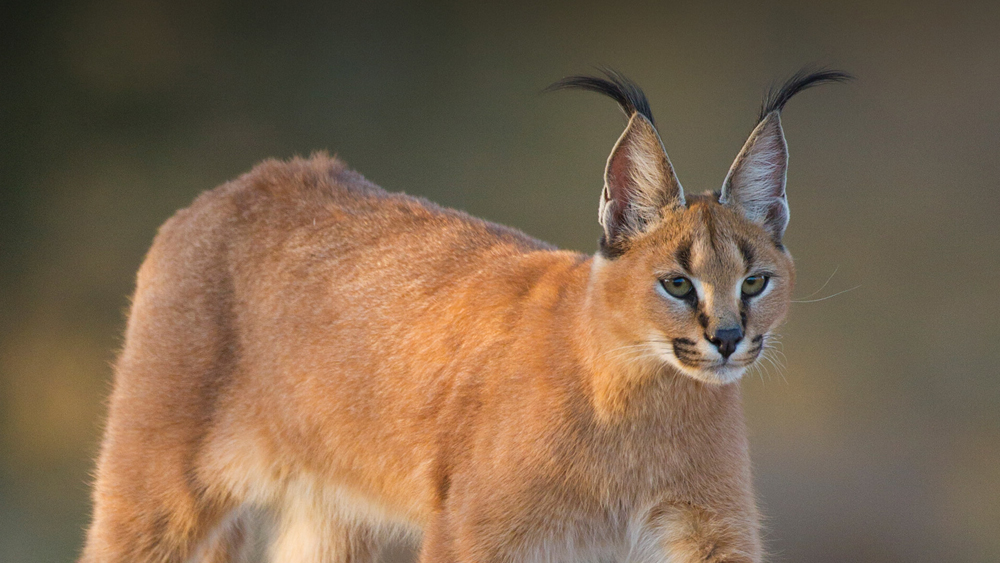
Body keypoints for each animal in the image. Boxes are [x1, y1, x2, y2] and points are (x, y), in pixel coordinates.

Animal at [82, 68, 848, 560]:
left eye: (755, 281)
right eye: (679, 284)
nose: (727, 338)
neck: (643, 398)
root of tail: (248, 180)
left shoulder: (708, 531)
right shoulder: (473, 533)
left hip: (331, 516)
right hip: (154, 494)